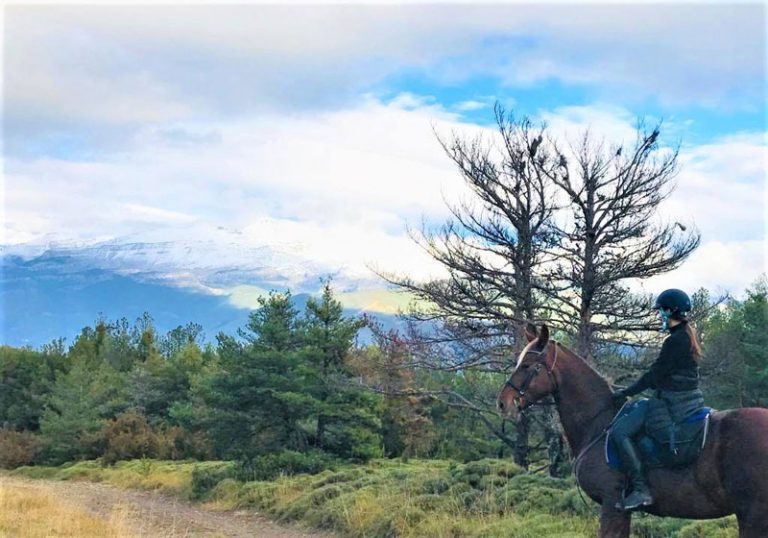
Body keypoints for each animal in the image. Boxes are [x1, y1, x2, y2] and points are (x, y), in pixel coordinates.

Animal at [496, 322, 768, 536]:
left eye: (527, 365)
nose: (503, 402)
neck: (598, 423)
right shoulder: (619, 511)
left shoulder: (611, 505)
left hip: (752, 516)